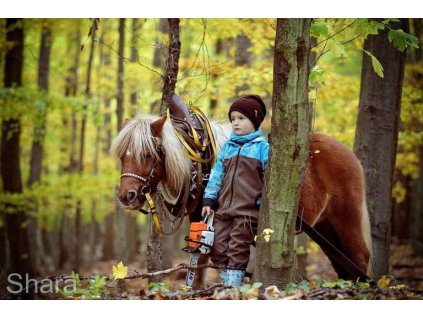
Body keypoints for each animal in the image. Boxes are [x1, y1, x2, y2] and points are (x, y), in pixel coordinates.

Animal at [111, 115, 372, 284]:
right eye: (123, 156)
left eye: (147, 154)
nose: (126, 196)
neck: (201, 164)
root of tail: (349, 154)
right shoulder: (200, 223)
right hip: (325, 229)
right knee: (344, 266)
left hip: (346, 221)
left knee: (359, 258)